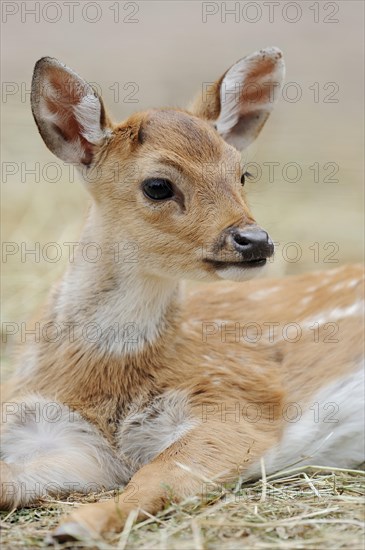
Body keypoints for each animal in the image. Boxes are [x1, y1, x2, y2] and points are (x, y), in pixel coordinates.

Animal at [1, 48, 362, 544]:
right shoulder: (64, 436)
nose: (255, 240)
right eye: (157, 185)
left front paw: (76, 526)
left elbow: (155, 476)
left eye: (242, 173)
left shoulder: (232, 403)